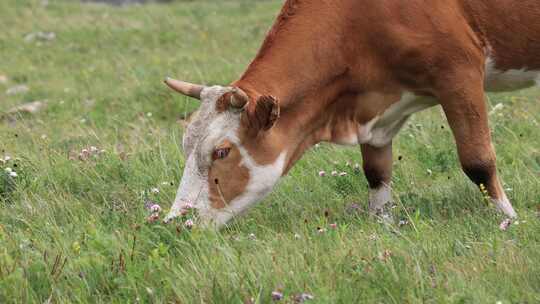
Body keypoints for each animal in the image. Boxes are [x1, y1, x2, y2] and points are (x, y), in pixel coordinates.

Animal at [163, 0, 540, 227]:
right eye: (185, 146)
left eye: (222, 152)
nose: (175, 221)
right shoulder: (375, 108)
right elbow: (376, 172)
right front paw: (381, 225)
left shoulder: (459, 72)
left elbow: (477, 161)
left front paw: (508, 221)